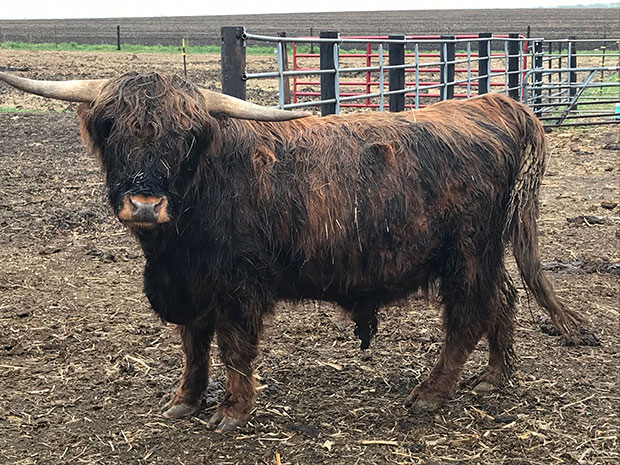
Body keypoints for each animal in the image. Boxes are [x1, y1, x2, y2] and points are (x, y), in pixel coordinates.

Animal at [0, 71, 592, 432]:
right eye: (111, 129)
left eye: (184, 136)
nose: (145, 204)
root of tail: (492, 104)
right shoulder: (192, 283)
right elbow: (193, 345)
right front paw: (184, 402)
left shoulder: (239, 285)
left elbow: (234, 348)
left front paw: (232, 412)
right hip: (485, 252)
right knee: (504, 300)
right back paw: (494, 377)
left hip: (466, 254)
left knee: (469, 315)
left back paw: (430, 393)